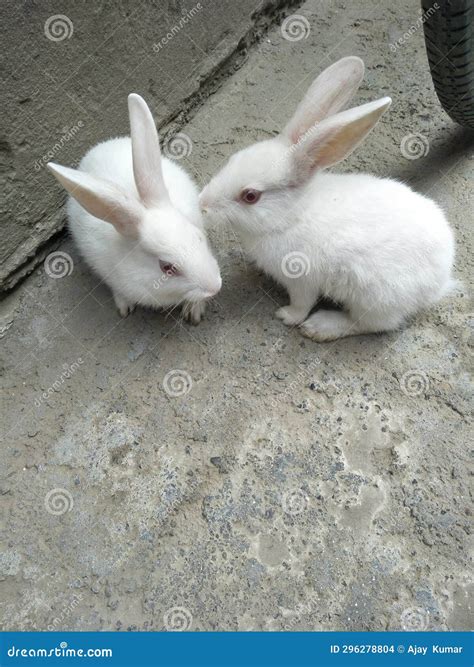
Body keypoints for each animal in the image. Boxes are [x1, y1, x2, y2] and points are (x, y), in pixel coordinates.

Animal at [47, 93, 221, 324]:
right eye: (167, 267)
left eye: (198, 237)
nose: (215, 286)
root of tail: (101, 146)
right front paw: (124, 308)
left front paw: (194, 312)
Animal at [199, 54, 456, 342]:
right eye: (233, 159)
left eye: (250, 196)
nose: (202, 204)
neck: (291, 216)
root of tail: (439, 280)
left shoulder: (301, 280)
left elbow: (301, 304)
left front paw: (286, 316)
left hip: (374, 298)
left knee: (373, 324)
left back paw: (321, 327)